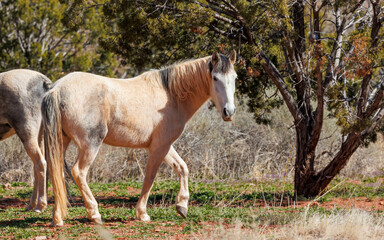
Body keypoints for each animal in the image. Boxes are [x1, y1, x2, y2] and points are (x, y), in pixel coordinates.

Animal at [0, 69, 51, 212]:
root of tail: (42, 80)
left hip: (28, 134)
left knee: (41, 164)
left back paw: (40, 205)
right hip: (39, 136)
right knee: (36, 167)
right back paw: (32, 204)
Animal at [42, 51, 237, 227]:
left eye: (234, 78)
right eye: (215, 78)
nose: (229, 111)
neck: (171, 95)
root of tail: (57, 89)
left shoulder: (164, 146)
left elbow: (182, 168)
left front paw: (182, 206)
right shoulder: (159, 147)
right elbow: (149, 178)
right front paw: (142, 213)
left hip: (62, 142)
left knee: (57, 172)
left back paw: (57, 218)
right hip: (90, 145)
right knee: (78, 172)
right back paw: (94, 214)